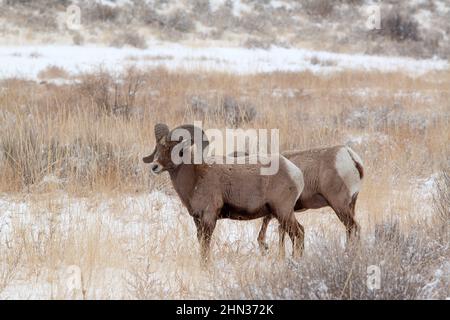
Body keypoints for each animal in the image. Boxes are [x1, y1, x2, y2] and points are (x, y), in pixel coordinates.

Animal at [143, 123, 306, 262]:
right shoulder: (197, 220)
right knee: (301, 232)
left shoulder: (209, 218)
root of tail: (295, 172)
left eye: (176, 149)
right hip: (284, 214)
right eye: (158, 147)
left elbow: (205, 245)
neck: (195, 177)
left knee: (297, 234)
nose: (155, 166)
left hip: (283, 212)